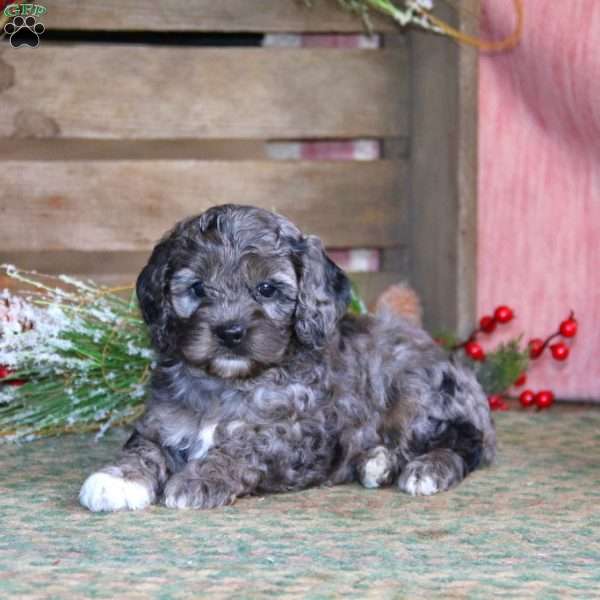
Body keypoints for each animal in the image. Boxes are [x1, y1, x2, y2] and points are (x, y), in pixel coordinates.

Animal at [77, 203, 494, 510]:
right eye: (197, 288)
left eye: (266, 289)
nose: (230, 333)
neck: (230, 383)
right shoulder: (161, 421)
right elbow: (144, 447)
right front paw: (117, 478)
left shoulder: (297, 435)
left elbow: (245, 447)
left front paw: (198, 478)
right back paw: (378, 462)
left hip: (417, 394)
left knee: (466, 442)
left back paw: (425, 469)